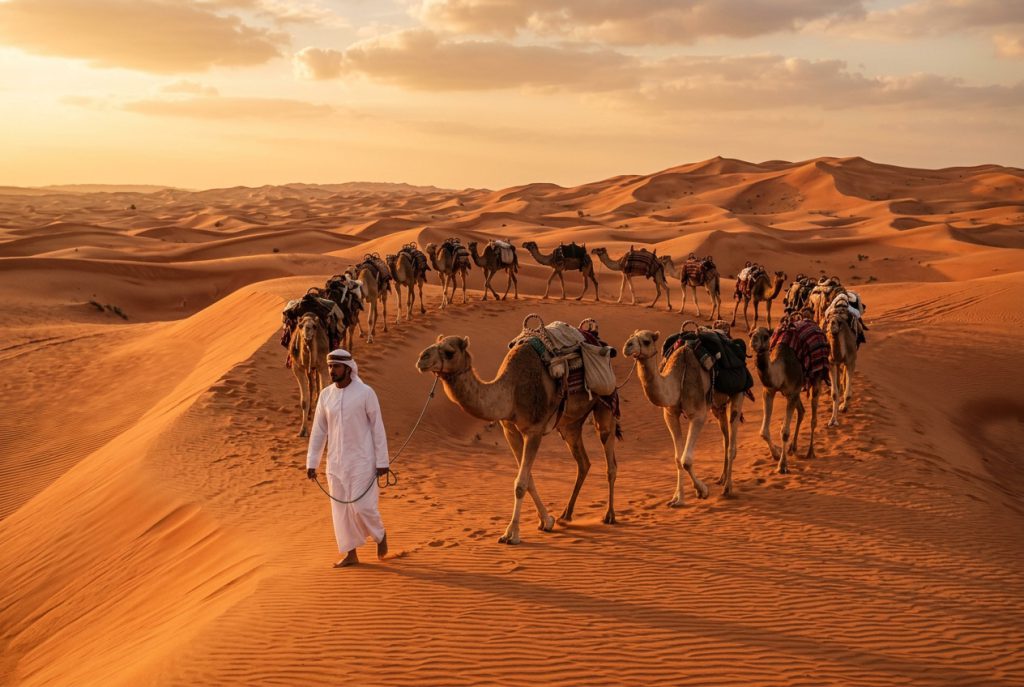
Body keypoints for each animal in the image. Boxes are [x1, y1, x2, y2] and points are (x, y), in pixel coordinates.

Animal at [416, 335, 619, 544]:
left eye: (449, 352)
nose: (422, 358)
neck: (510, 392)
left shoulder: (534, 430)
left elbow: (521, 483)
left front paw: (511, 534)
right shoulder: (510, 430)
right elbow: (528, 479)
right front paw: (547, 521)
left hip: (606, 403)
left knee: (610, 461)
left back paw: (609, 515)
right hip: (569, 425)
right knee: (583, 462)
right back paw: (566, 514)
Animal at [623, 330, 744, 503]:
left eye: (646, 341)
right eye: (631, 337)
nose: (627, 346)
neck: (677, 378)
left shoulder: (698, 414)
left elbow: (686, 460)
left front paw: (702, 490)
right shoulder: (670, 414)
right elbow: (678, 459)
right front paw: (678, 497)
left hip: (738, 393)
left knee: (732, 442)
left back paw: (728, 488)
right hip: (717, 405)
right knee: (725, 438)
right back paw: (721, 478)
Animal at [749, 325, 824, 474]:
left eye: (766, 336)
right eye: (751, 333)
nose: (753, 341)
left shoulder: (792, 393)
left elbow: (784, 432)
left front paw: (782, 465)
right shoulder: (769, 391)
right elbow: (763, 432)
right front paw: (776, 455)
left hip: (816, 377)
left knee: (813, 417)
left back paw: (810, 452)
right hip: (798, 389)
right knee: (801, 411)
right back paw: (792, 448)